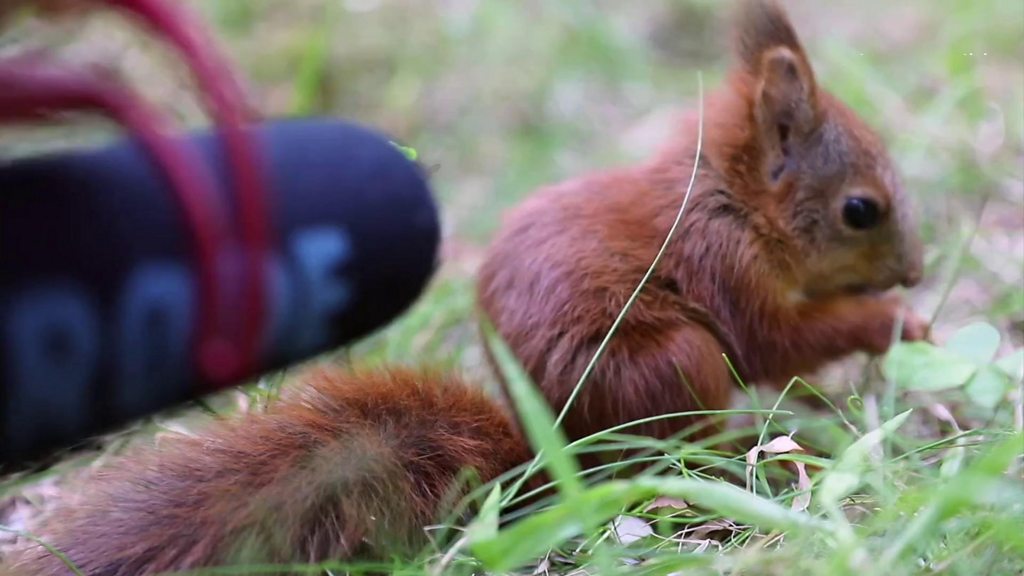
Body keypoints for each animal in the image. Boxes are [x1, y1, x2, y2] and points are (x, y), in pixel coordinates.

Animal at [6, 2, 929, 569]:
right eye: (860, 210)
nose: (916, 271)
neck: (733, 200)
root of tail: (560, 455)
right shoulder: (723, 267)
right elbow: (775, 339)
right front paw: (894, 324)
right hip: (674, 361)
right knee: (682, 440)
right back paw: (749, 458)